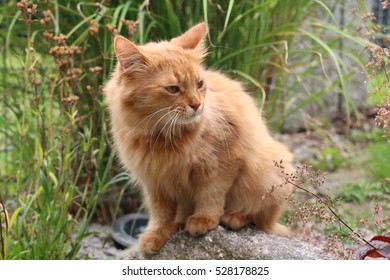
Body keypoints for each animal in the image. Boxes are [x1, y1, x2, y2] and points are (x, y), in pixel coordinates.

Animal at [103, 22, 292, 254]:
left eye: (199, 84)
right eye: (173, 89)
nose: (196, 105)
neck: (162, 137)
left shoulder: (223, 162)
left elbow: (211, 194)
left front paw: (203, 219)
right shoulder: (155, 180)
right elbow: (160, 214)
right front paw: (156, 234)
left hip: (271, 174)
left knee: (258, 218)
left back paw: (234, 217)